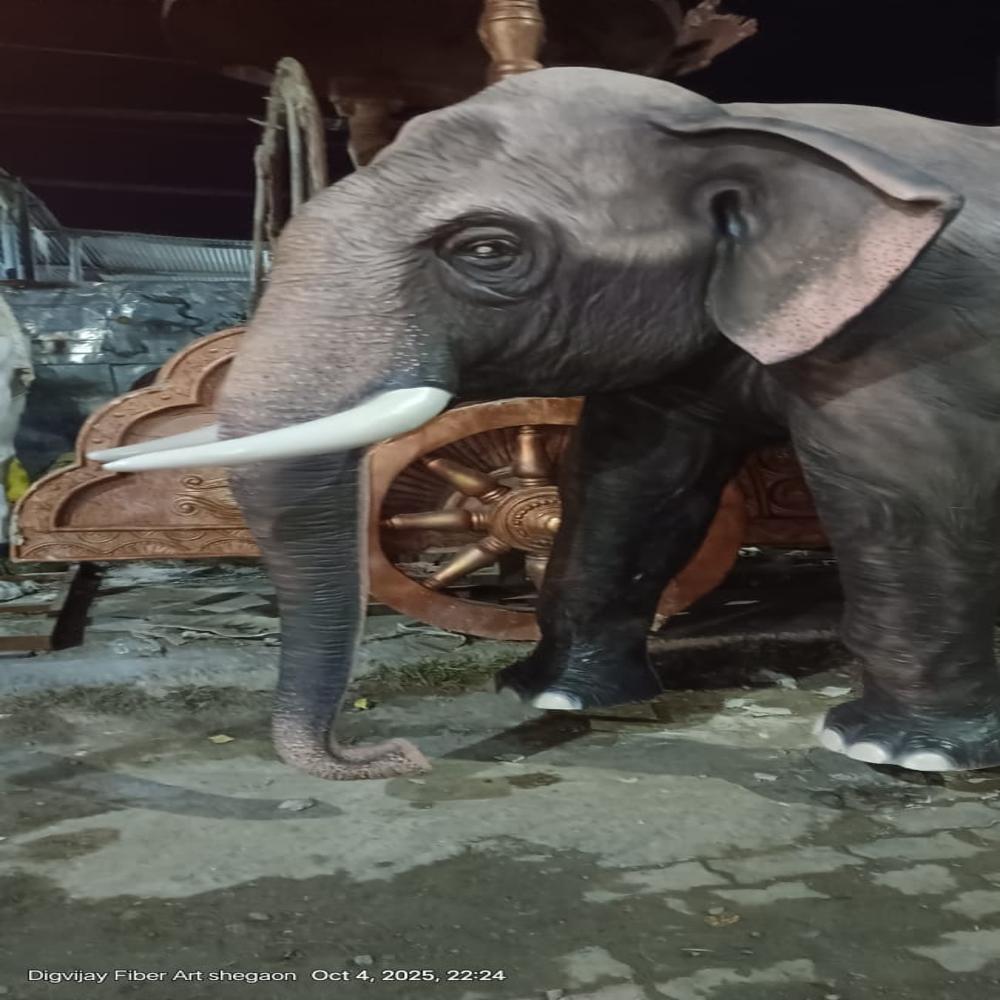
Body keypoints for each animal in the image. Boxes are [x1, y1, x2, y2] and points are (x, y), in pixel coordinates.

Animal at [91, 66, 1000, 780]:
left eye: (488, 250)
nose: (396, 756)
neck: (729, 121)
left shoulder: (914, 334)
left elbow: (907, 504)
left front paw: (895, 754)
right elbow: (621, 482)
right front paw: (552, 697)